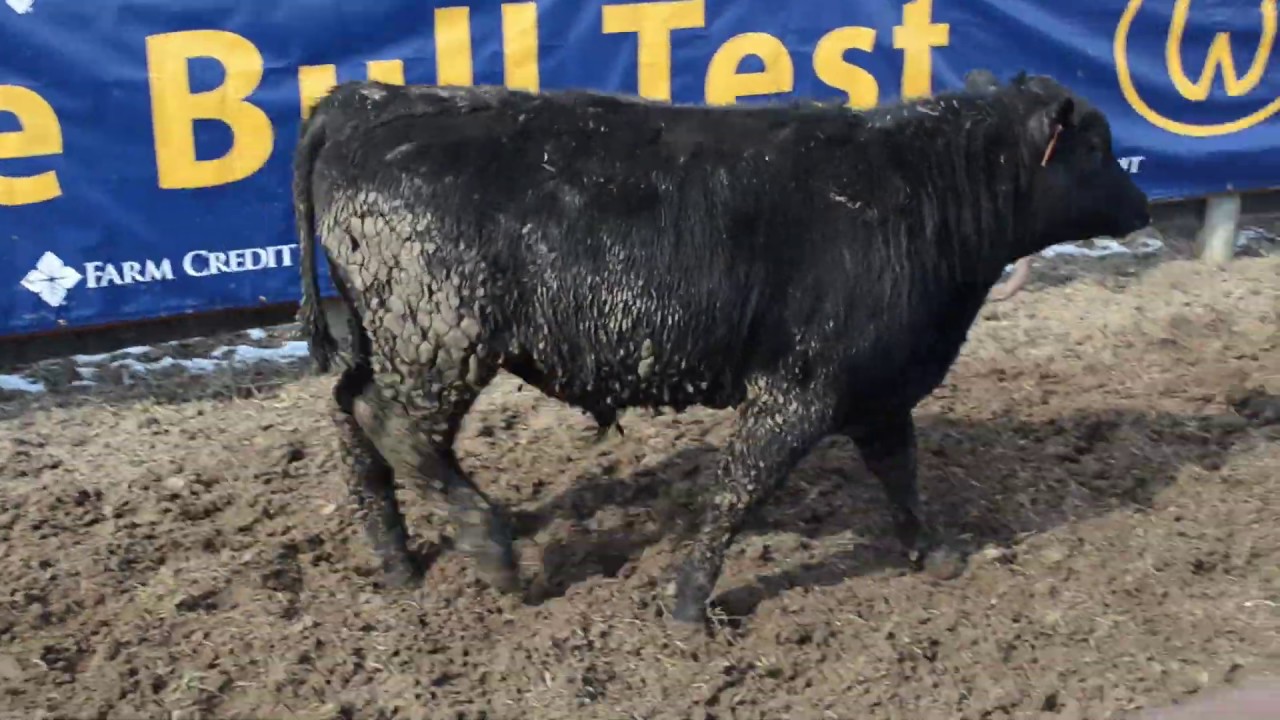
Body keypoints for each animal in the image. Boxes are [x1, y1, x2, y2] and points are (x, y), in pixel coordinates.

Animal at [293, 71, 1150, 627]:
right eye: (1097, 146)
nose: (1143, 202)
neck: (914, 192)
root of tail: (366, 98)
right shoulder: (800, 390)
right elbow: (741, 489)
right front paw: (688, 603)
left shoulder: (878, 387)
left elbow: (900, 473)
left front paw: (935, 552)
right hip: (439, 336)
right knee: (391, 424)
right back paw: (489, 546)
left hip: (393, 333)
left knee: (351, 417)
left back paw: (398, 559)